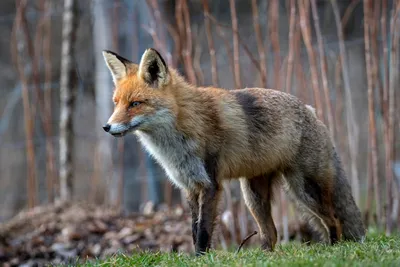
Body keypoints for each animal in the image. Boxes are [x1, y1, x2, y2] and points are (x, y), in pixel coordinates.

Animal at [101, 47, 364, 255]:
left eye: (135, 104)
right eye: (116, 103)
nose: (107, 127)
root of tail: (311, 110)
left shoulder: (210, 184)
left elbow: (203, 232)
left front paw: (201, 258)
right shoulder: (190, 185)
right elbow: (194, 230)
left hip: (304, 190)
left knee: (334, 219)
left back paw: (333, 248)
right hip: (254, 197)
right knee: (272, 234)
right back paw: (264, 256)